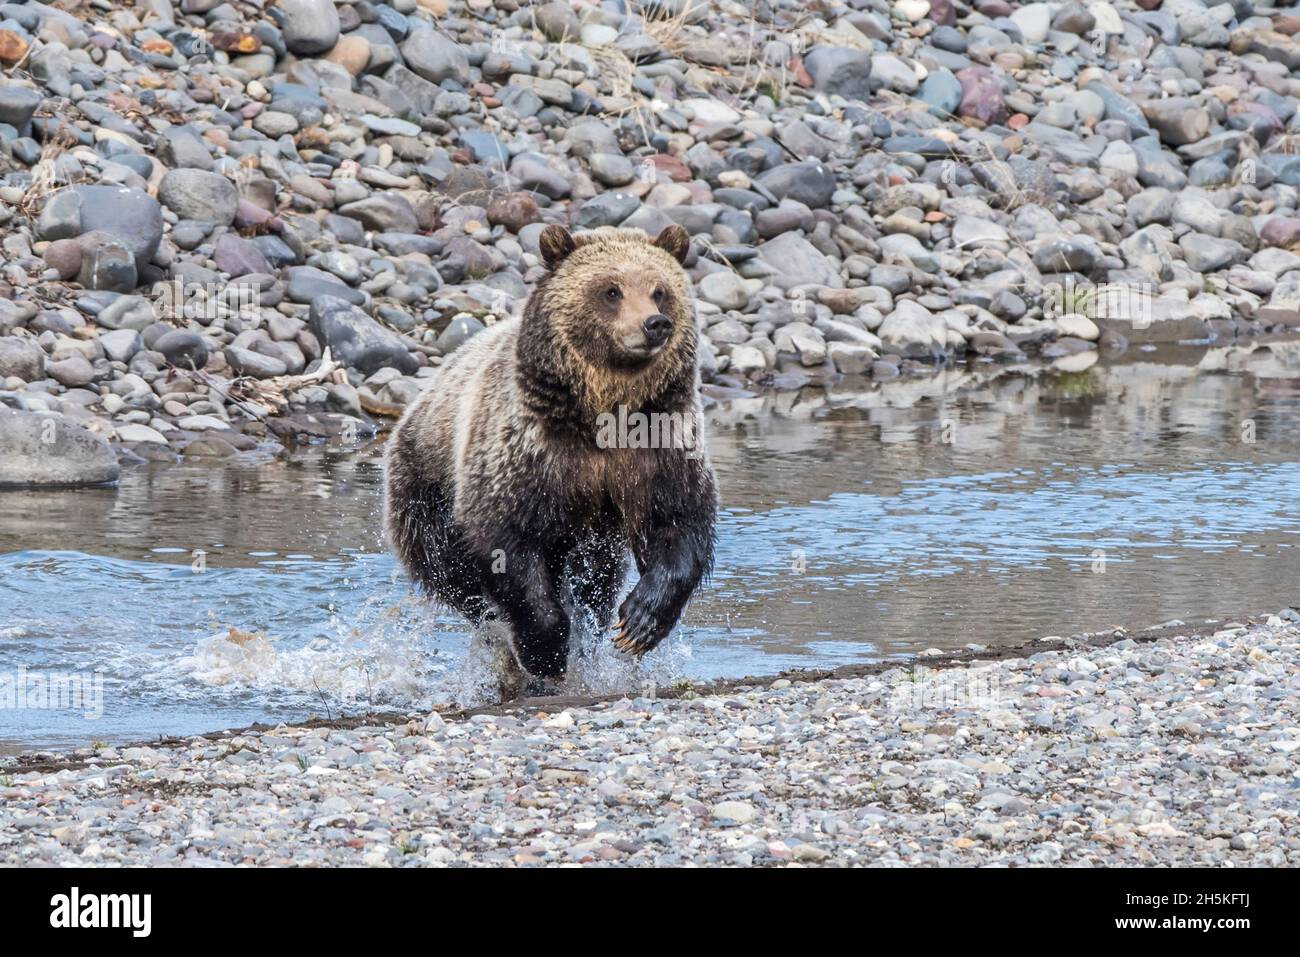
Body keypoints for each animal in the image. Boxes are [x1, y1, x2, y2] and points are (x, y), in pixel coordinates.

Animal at [382, 223, 722, 686]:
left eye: (660, 290)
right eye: (611, 290)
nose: (655, 324)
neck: (603, 413)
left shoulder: (657, 444)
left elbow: (680, 520)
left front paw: (639, 622)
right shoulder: (528, 452)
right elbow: (507, 542)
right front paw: (546, 650)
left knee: (595, 583)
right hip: (423, 490)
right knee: (454, 576)